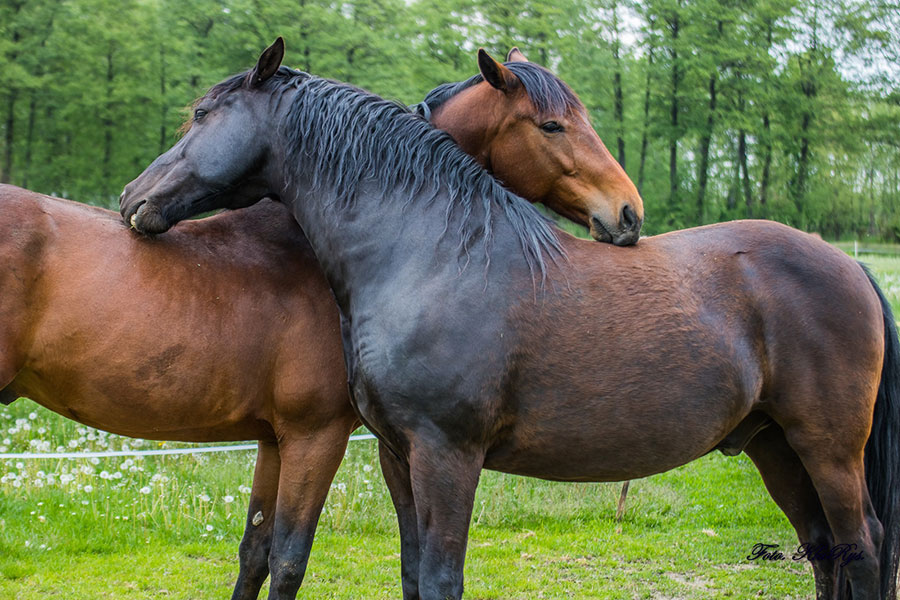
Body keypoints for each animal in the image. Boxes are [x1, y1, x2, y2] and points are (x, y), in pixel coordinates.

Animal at [0, 48, 632, 600]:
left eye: (201, 116)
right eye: (552, 126)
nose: (629, 212)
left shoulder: (274, 440)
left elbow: (255, 554)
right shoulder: (316, 436)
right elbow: (288, 560)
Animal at [121, 39, 900, 596]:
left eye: (200, 115)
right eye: (552, 125)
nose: (133, 197)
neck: (431, 253)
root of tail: (850, 264)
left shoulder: (448, 455)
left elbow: (442, 579)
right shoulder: (399, 454)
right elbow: (414, 574)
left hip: (828, 448)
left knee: (862, 549)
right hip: (776, 446)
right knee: (826, 551)